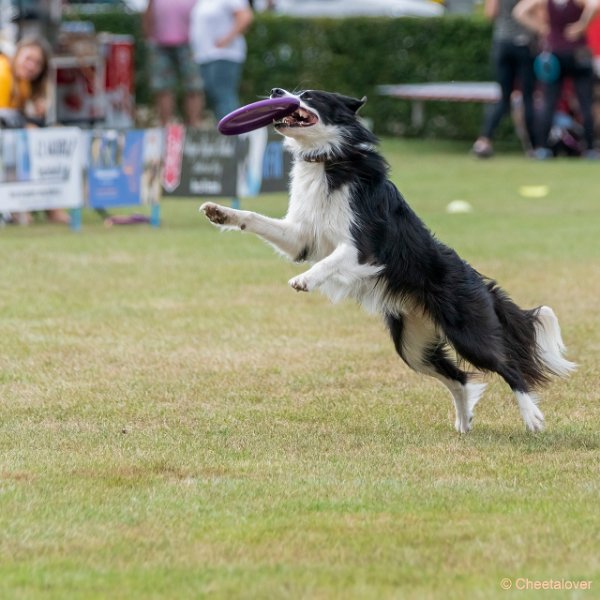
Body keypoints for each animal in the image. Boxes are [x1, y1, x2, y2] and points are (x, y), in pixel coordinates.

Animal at [203, 89, 576, 434]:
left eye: (309, 96)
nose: (276, 93)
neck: (329, 159)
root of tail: (479, 281)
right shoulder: (301, 238)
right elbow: (256, 218)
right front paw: (220, 212)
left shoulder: (362, 246)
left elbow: (331, 260)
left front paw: (305, 280)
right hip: (412, 343)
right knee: (458, 377)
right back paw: (464, 421)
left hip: (467, 331)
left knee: (507, 366)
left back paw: (531, 416)